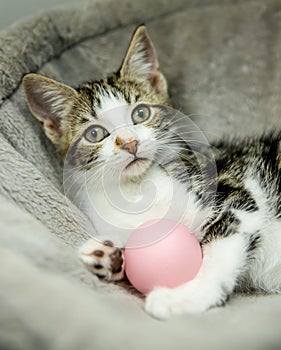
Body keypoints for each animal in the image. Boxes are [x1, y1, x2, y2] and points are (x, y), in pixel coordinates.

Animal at [23, 25, 280, 320]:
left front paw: (185, 295)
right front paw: (107, 254)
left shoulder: (237, 188)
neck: (138, 188)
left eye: (141, 113)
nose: (129, 143)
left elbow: (221, 245)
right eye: (95, 133)